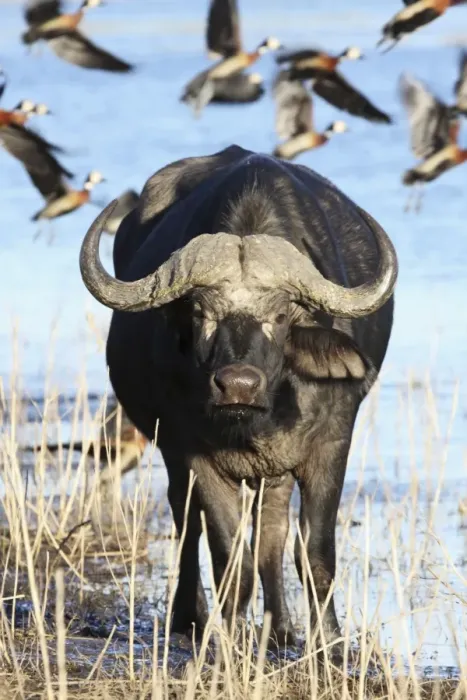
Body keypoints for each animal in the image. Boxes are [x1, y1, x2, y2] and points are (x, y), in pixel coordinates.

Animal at [79, 145, 397, 649]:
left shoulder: (330, 446)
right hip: (171, 454)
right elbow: (230, 557)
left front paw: (329, 645)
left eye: (282, 314)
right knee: (186, 522)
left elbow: (315, 554)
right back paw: (189, 617)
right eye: (200, 312)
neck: (256, 421)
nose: (238, 385)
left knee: (272, 529)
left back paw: (280, 628)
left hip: (275, 472)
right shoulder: (195, 455)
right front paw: (225, 641)